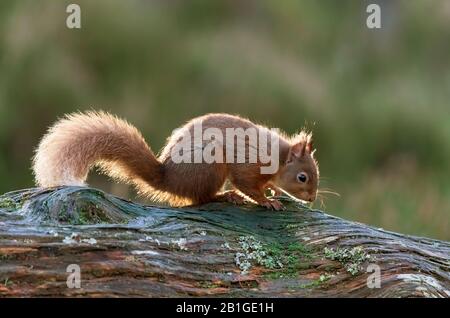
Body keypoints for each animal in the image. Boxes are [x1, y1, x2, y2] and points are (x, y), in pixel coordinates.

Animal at [32, 112, 320, 211]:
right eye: (302, 177)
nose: (312, 198)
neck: (278, 159)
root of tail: (168, 178)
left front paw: (272, 190)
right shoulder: (249, 165)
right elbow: (247, 185)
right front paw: (267, 200)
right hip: (211, 166)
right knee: (201, 198)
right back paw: (225, 196)